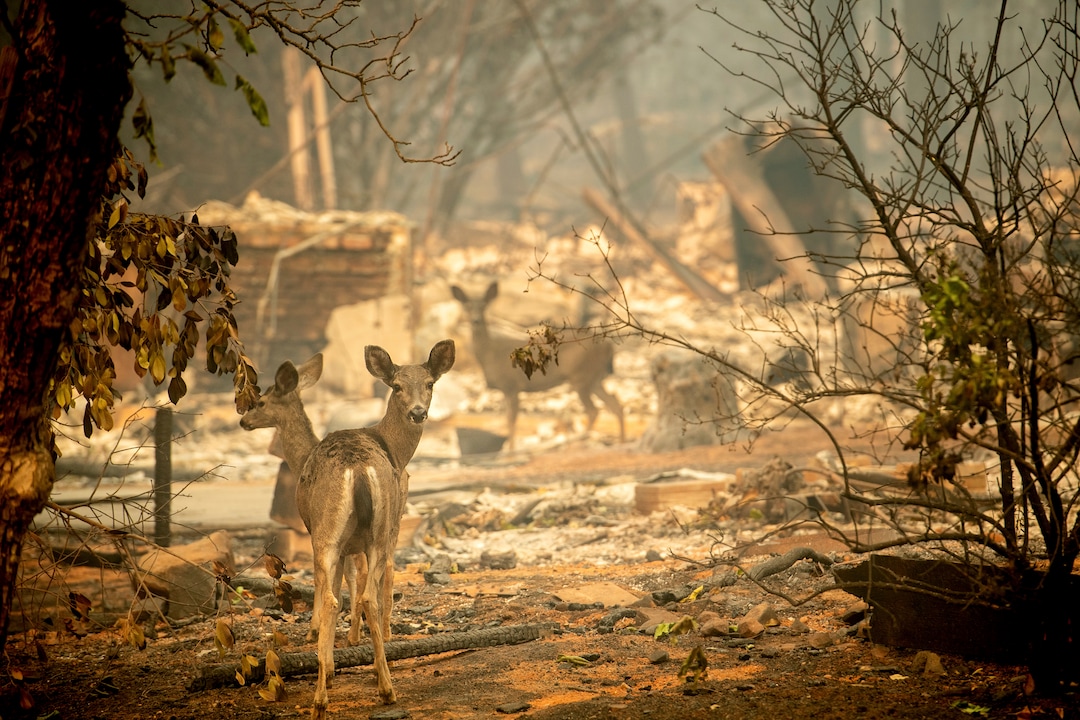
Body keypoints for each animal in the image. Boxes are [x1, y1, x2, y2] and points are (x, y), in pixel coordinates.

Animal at [298, 339, 455, 718]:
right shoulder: (394, 521)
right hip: (373, 530)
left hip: (332, 534)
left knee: (338, 596)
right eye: (396, 386)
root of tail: (357, 468)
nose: (418, 412)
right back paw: (380, 688)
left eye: (430, 383)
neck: (396, 452)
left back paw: (329, 697)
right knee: (366, 593)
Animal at [451, 281, 624, 449]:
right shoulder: (506, 388)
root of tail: (609, 346)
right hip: (595, 377)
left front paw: (510, 451)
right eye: (466, 306)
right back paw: (621, 440)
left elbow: (511, 419)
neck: (489, 355)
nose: (475, 320)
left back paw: (578, 442)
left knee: (593, 410)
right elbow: (508, 419)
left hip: (581, 375)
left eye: (484, 306)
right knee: (615, 403)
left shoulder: (512, 385)